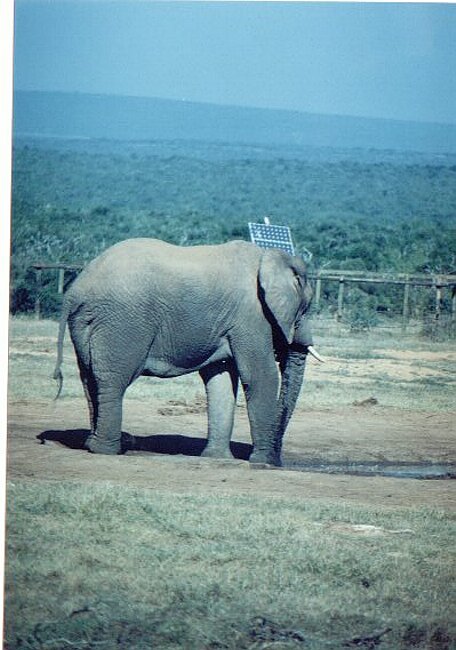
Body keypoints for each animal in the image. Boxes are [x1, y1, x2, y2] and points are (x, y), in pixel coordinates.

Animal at [54, 238, 317, 466]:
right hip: (122, 322)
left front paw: (217, 458)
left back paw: (94, 444)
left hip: (87, 322)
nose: (279, 460)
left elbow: (220, 379)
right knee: (113, 379)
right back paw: (108, 450)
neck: (270, 256)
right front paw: (263, 463)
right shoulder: (251, 317)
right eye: (306, 308)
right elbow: (261, 376)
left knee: (89, 378)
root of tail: (75, 290)